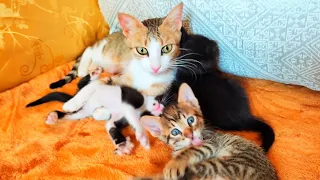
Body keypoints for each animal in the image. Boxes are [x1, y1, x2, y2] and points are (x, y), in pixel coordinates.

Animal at [49, 2, 184, 97]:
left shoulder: (159, 88)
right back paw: (83, 68)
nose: (155, 68)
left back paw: (95, 69)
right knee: (89, 49)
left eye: (167, 48)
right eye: (142, 50)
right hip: (106, 51)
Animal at [139, 83, 278, 180]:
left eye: (190, 120)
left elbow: (191, 151)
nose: (190, 135)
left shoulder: (210, 141)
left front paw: (174, 164)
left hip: (230, 164)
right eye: (175, 132)